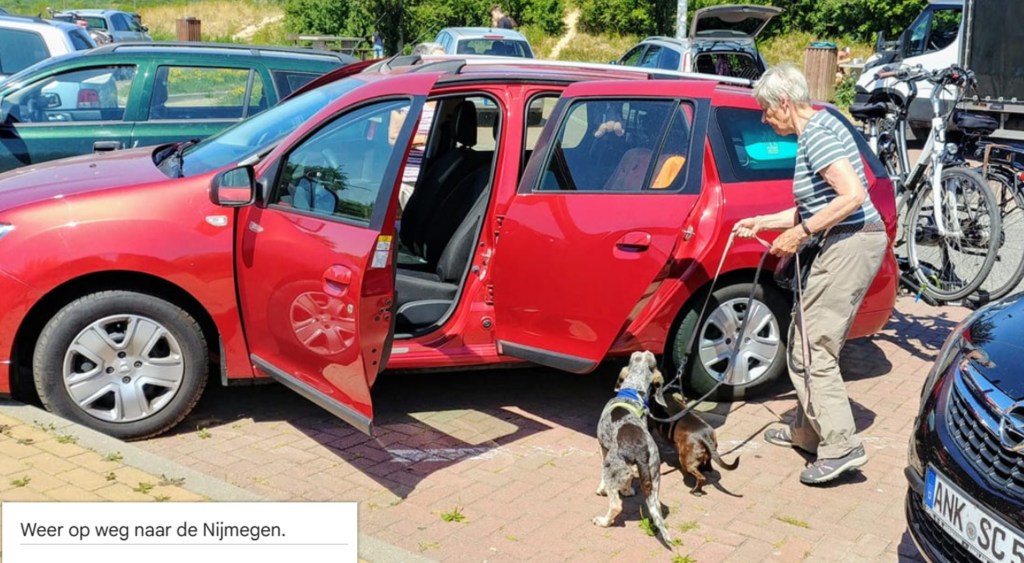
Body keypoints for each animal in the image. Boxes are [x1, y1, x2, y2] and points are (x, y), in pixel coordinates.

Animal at [593, 350, 672, 544]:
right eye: (639, 356)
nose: (646, 350)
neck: (633, 392)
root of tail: (641, 451)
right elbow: (628, 480)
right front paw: (627, 490)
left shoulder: (603, 448)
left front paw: (601, 489)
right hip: (654, 477)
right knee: (656, 506)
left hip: (611, 467)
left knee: (616, 506)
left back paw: (603, 521)